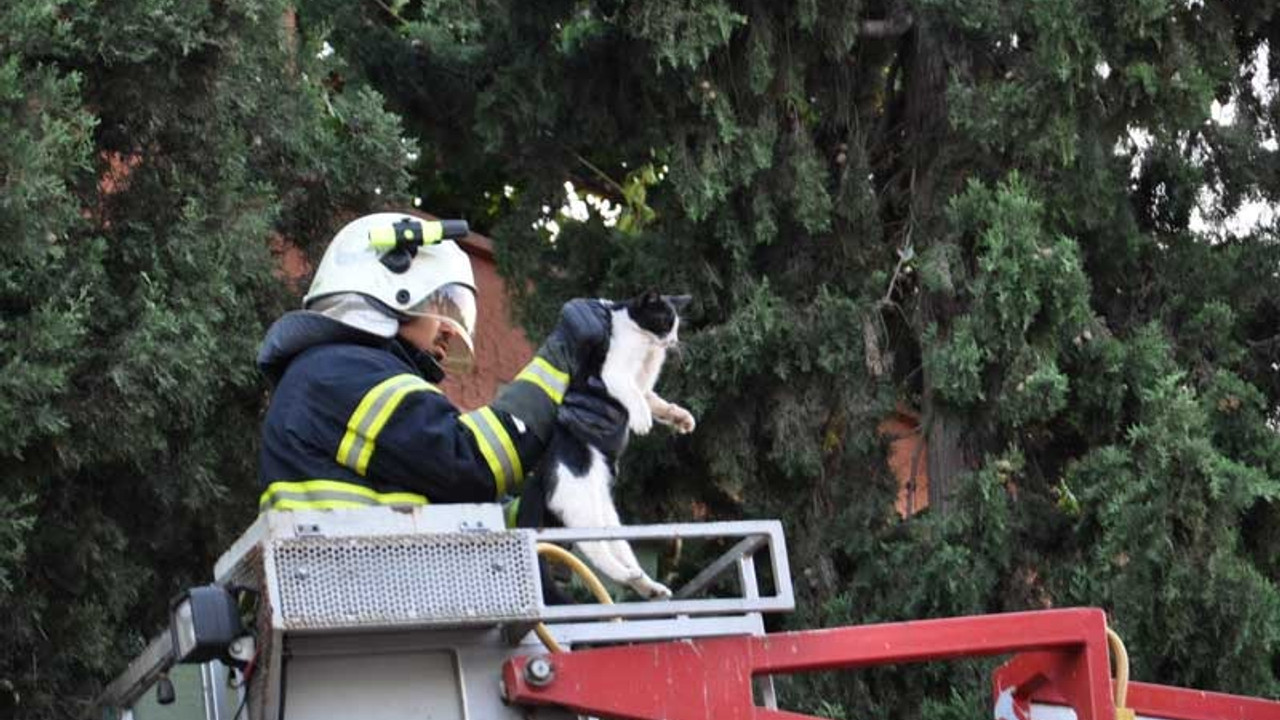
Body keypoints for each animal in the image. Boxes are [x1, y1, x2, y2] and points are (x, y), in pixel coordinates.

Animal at [517, 288, 691, 597]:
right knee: (596, 553)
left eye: (676, 327)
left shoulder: (646, 388)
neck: (646, 347)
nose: (672, 341)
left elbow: (656, 401)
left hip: (608, 519)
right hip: (581, 508)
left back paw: (649, 585)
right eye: (664, 321)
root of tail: (539, 475)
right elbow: (634, 395)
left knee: (620, 553)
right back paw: (629, 576)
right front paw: (641, 421)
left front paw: (681, 418)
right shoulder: (615, 374)